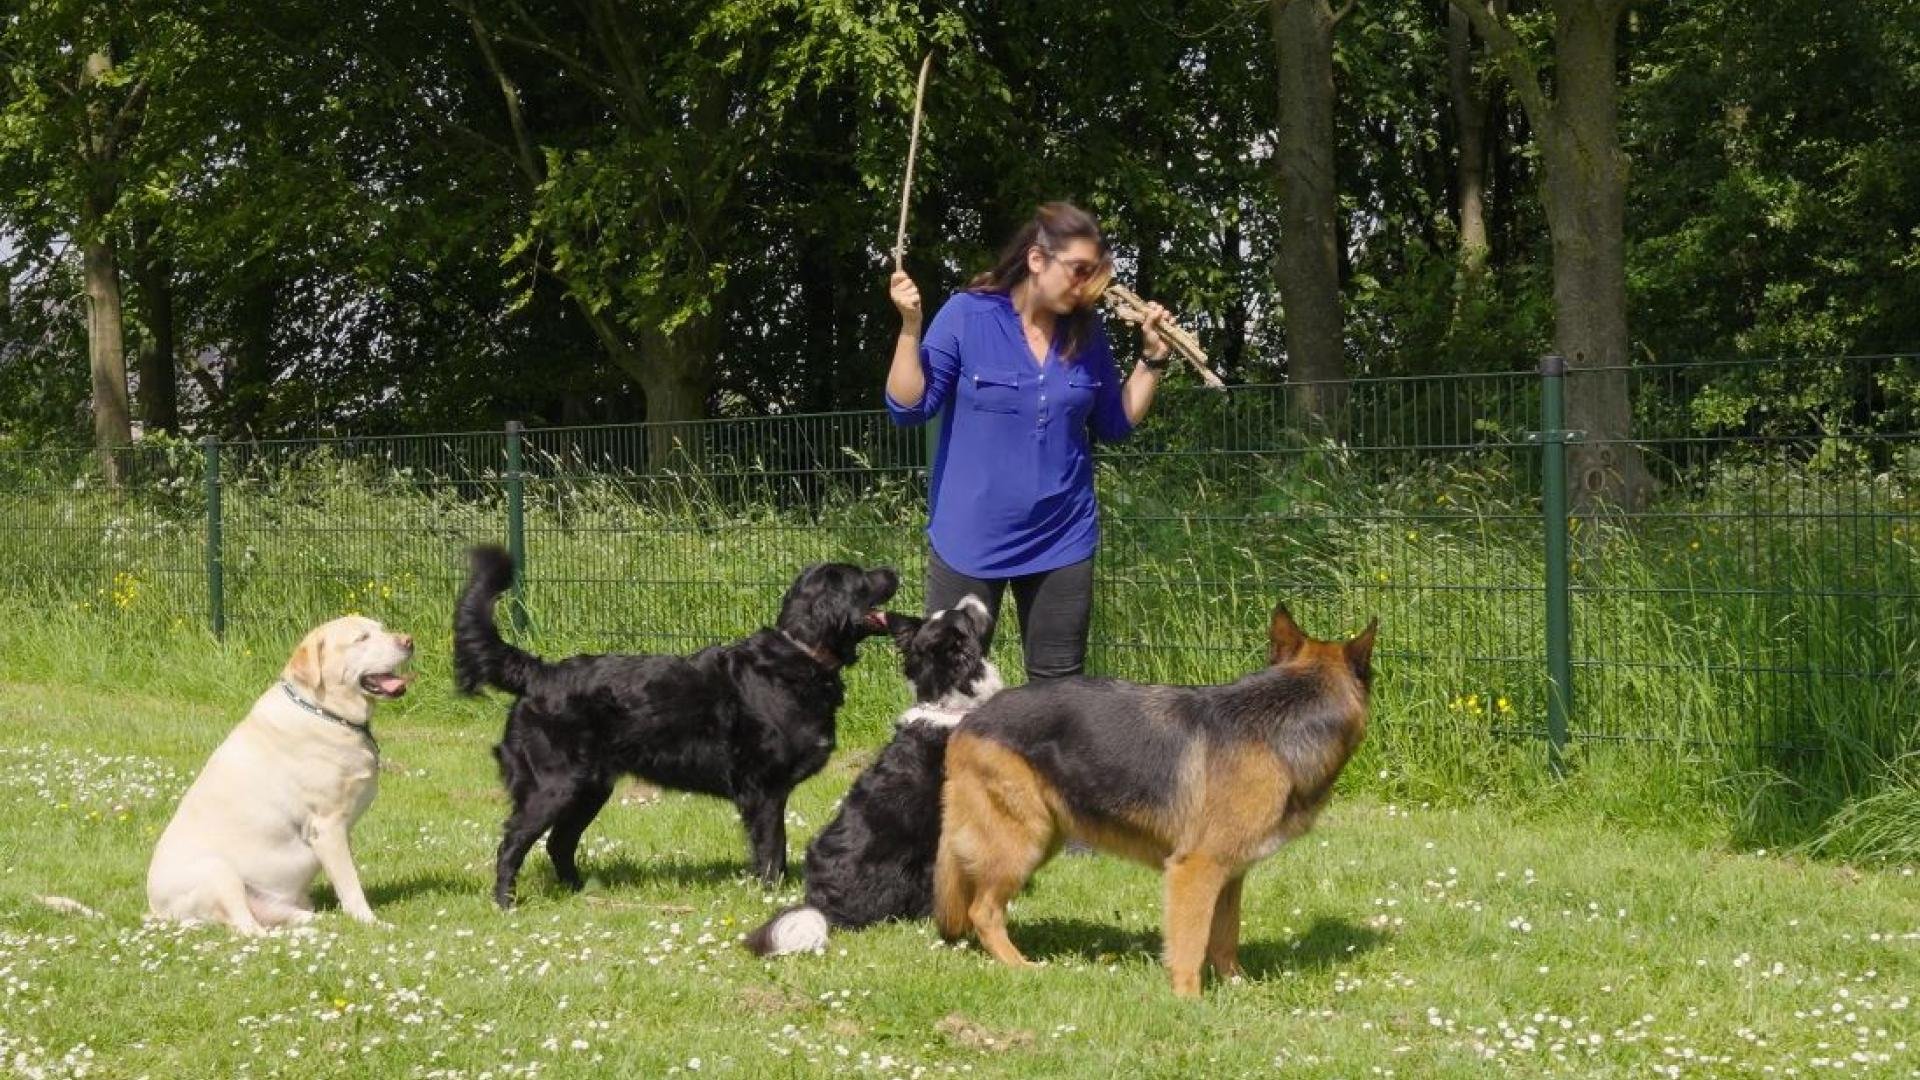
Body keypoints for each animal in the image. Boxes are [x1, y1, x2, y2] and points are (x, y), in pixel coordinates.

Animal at [456, 541, 898, 903]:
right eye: (862, 578)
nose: (895, 569)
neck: (800, 656)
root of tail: (539, 673)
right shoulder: (764, 790)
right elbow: (772, 849)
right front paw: (772, 896)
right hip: (553, 786)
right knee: (511, 844)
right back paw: (506, 902)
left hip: (590, 788)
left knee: (558, 844)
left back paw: (583, 893)